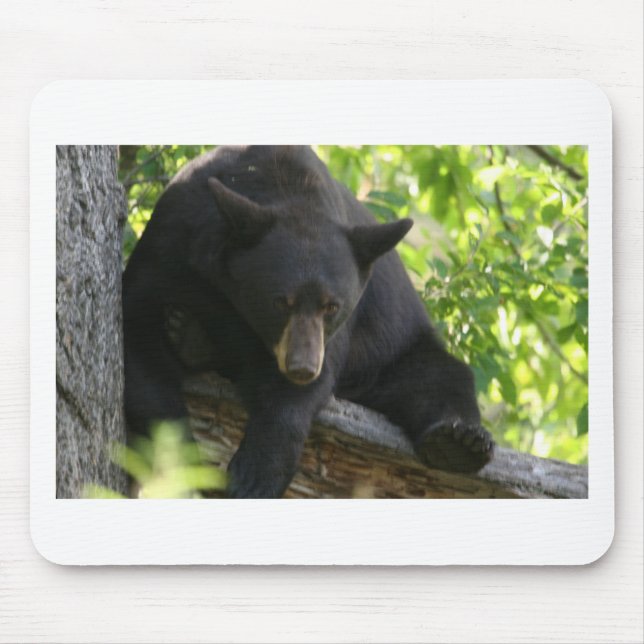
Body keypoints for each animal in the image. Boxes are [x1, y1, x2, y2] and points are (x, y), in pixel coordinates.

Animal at [122, 145, 494, 498]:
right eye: (280, 301)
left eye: (331, 306)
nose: (302, 367)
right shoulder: (173, 244)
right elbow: (140, 342)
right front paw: (185, 462)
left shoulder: (333, 335)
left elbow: (296, 399)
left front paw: (256, 476)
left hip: (393, 353)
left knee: (439, 376)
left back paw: (460, 442)